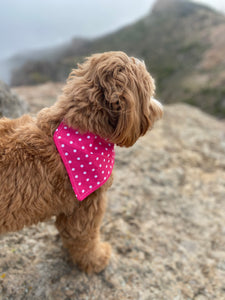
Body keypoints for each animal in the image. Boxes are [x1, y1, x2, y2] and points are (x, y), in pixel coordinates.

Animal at [0, 51, 162, 272]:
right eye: (149, 91)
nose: (159, 109)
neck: (81, 130)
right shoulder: (86, 205)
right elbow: (84, 238)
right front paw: (96, 260)